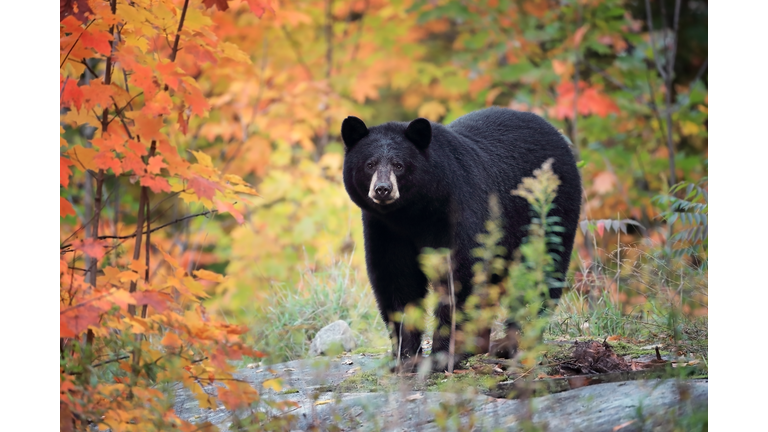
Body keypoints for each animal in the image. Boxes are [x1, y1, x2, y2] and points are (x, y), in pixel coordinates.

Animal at [340, 106, 580, 370]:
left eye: (399, 165)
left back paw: (514, 342)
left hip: (548, 212)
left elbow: (460, 274)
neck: (413, 213)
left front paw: (444, 355)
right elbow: (396, 279)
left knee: (540, 271)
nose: (383, 189)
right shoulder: (385, 229)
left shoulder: (459, 209)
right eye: (370, 164)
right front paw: (405, 356)